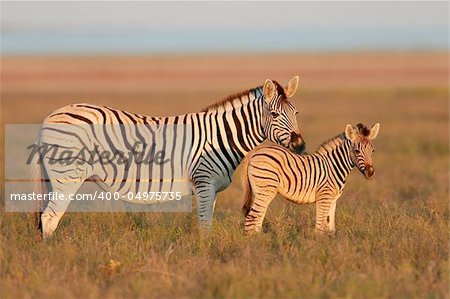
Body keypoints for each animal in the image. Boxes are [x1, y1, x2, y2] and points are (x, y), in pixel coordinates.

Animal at [34, 77, 306, 239]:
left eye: (296, 113)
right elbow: (204, 226)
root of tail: (51, 116)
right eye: (274, 114)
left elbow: (205, 223)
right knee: (50, 217)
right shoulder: (204, 182)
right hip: (67, 176)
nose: (300, 145)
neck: (220, 137)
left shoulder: (211, 189)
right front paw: (205, 257)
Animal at [241, 122, 378, 234]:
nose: (370, 172)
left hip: (260, 191)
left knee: (257, 219)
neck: (334, 166)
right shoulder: (324, 197)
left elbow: (330, 227)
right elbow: (320, 227)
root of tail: (255, 152)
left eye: (373, 151)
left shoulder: (333, 200)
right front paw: (317, 246)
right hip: (266, 188)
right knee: (251, 219)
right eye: (357, 151)